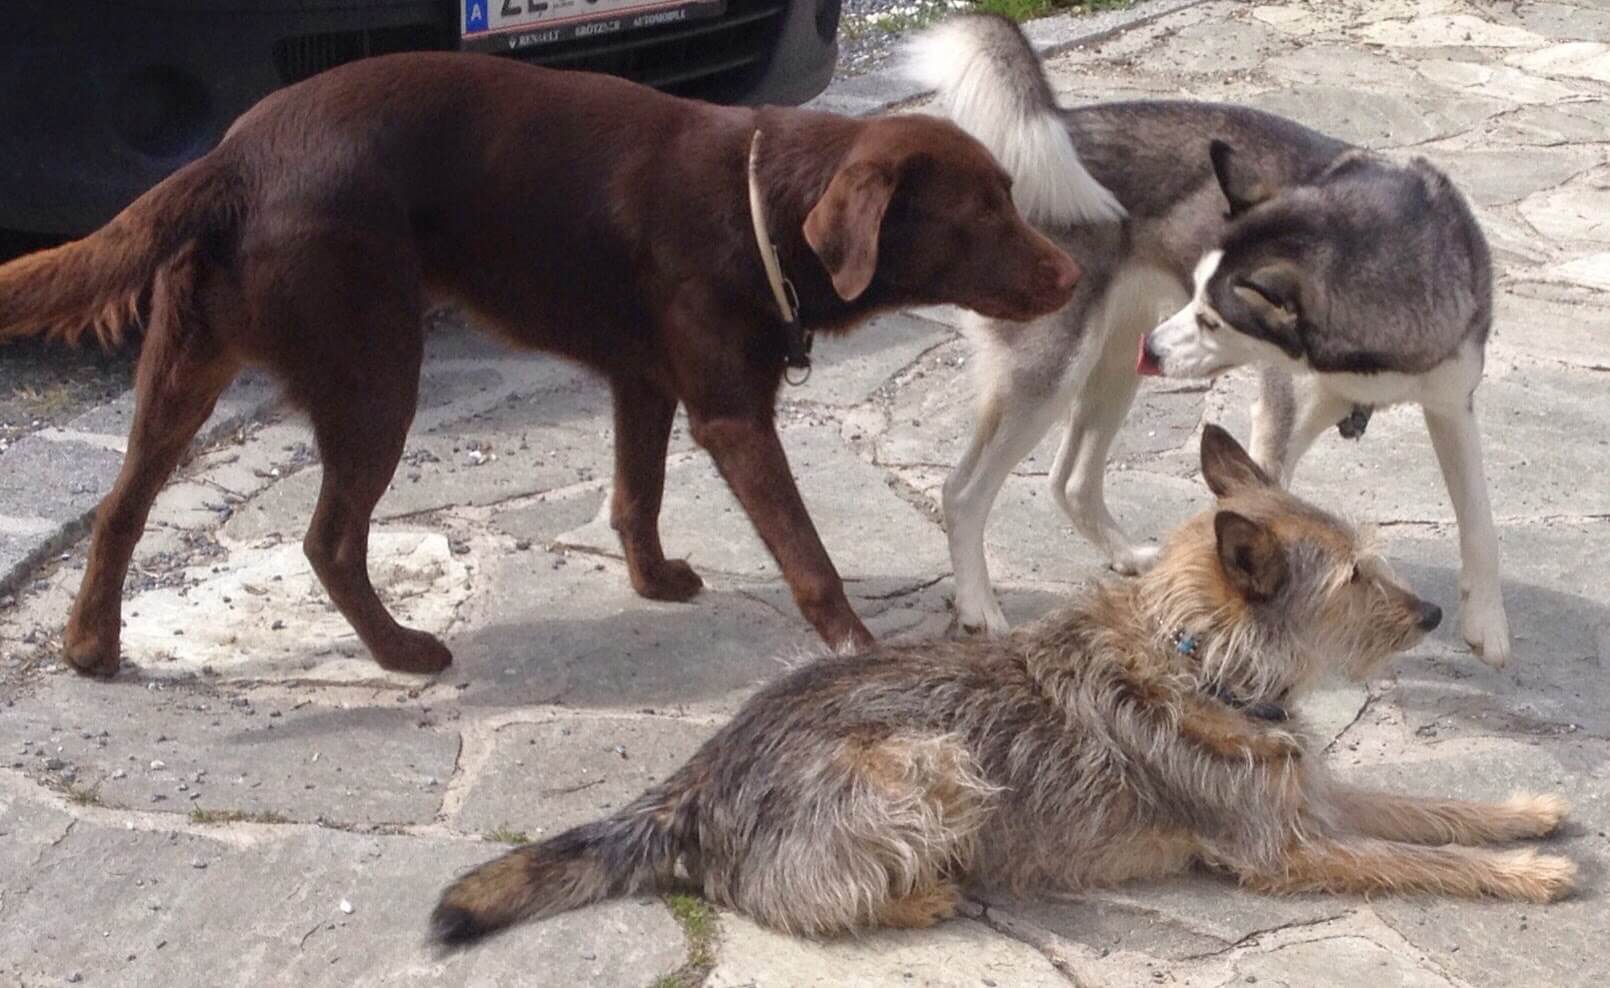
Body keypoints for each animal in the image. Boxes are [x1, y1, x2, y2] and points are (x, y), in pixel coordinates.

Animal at [0, 52, 1083, 677]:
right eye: (983, 212)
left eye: (1008, 195)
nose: (1075, 271)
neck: (761, 206)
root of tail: (231, 158)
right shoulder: (731, 414)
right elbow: (807, 555)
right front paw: (856, 647)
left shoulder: (644, 383)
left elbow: (636, 496)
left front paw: (653, 581)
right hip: (376, 369)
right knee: (328, 539)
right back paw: (400, 651)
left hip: (185, 364)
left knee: (121, 505)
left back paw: (92, 647)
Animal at [429, 425, 1571, 945]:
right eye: (1354, 580)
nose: (1432, 616)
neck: (1198, 657)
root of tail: (698, 778)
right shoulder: (1281, 850)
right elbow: (1409, 858)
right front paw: (1528, 875)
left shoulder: (1310, 793)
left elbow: (1426, 809)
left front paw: (1522, 811)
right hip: (927, 759)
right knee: (789, 899)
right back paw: (920, 892)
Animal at [904, 15, 1512, 667]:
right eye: (1195, 292)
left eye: (1213, 319)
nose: (1157, 349)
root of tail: (1058, 127)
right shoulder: (1277, 425)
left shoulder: (1451, 404)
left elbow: (1481, 523)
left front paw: (1487, 624)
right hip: (1050, 376)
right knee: (962, 493)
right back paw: (979, 607)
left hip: (1112, 366)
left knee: (1070, 481)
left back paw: (1127, 555)